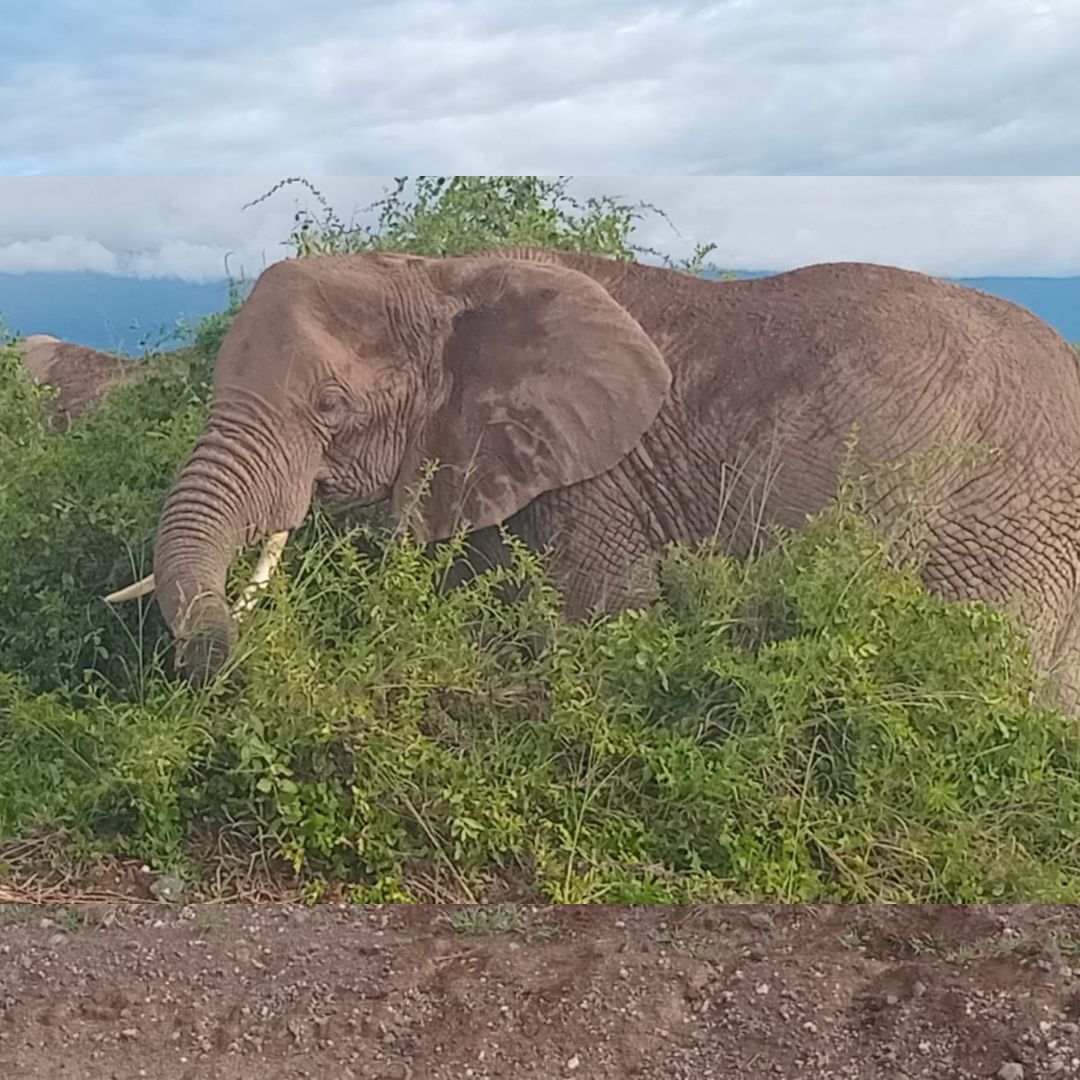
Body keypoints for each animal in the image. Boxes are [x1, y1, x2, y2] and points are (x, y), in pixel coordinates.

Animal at [105, 247, 1080, 708]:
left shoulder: (601, 484)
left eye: (331, 408)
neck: (442, 274)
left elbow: (594, 626)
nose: (223, 664)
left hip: (995, 522)